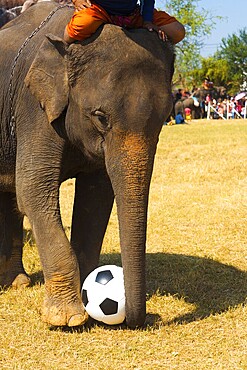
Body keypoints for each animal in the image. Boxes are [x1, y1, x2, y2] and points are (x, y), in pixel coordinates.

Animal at [0, 2, 175, 326]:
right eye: (100, 117)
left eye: (165, 116)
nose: (141, 319)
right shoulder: (33, 106)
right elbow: (33, 189)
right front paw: (68, 318)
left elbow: (96, 197)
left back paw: (17, 283)